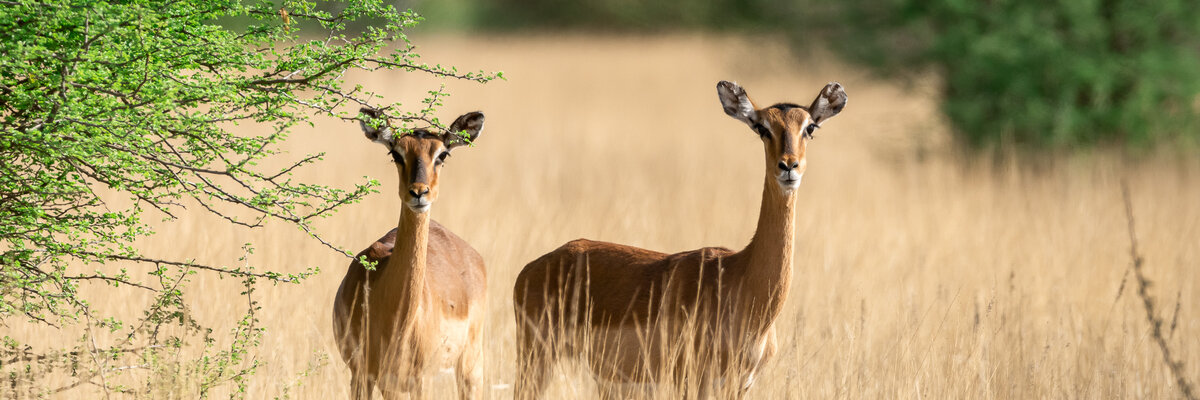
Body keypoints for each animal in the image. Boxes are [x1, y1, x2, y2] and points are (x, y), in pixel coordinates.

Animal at [333, 108, 488, 400]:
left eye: (442, 154)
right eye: (396, 153)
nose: (419, 192)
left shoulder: (420, 381)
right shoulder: (361, 376)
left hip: (469, 369)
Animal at [512, 81, 847, 399]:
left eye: (810, 127)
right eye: (762, 127)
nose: (789, 166)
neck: (741, 280)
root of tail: (529, 270)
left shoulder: (741, 386)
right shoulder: (692, 382)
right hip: (537, 362)